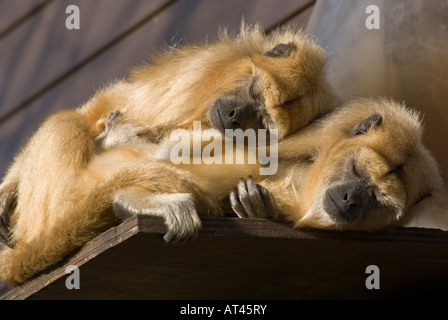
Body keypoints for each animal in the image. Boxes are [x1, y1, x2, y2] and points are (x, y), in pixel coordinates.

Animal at [0, 24, 338, 284]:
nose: (234, 116)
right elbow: (109, 103)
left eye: (263, 121)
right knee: (69, 122)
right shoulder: (194, 74)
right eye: (254, 93)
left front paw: (256, 205)